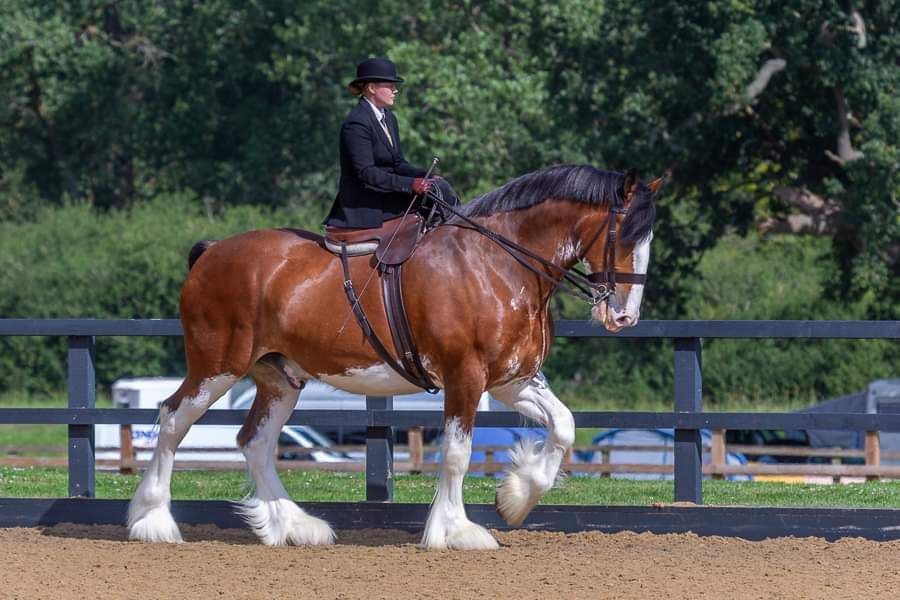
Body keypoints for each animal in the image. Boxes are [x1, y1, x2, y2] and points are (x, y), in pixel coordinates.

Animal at [126, 163, 660, 548]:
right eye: (627, 235)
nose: (624, 316)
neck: (497, 263)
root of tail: (212, 251)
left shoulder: (511, 380)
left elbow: (564, 425)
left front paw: (516, 498)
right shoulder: (465, 376)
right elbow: (457, 454)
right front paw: (455, 531)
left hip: (280, 378)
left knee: (254, 441)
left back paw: (294, 526)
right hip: (216, 366)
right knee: (172, 420)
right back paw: (153, 521)